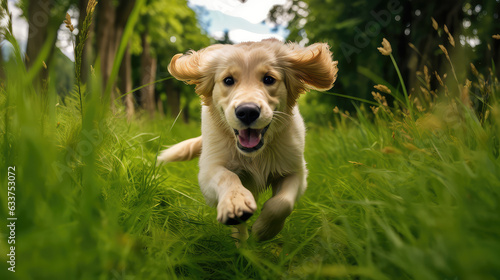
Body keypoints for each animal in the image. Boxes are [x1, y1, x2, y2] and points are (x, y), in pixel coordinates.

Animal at [158, 38, 338, 242]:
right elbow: (227, 176)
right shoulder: (209, 168)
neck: (255, 154)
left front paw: (263, 230)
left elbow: (282, 203)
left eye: (269, 79)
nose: (248, 111)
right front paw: (235, 203)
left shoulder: (296, 170)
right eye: (228, 80)